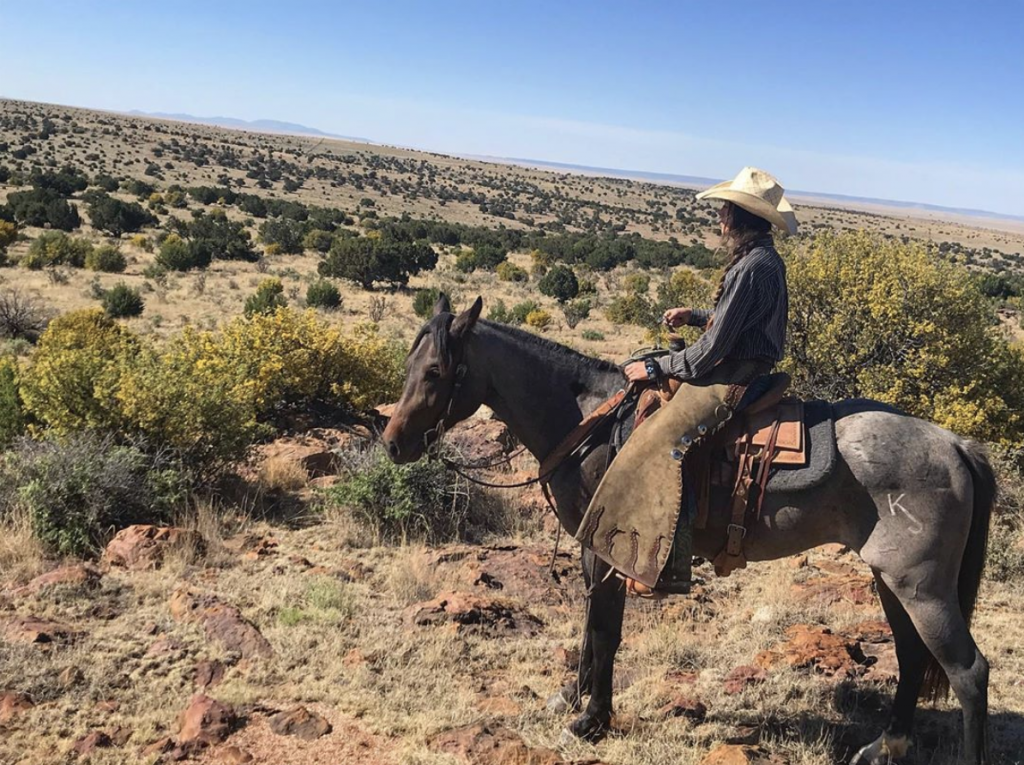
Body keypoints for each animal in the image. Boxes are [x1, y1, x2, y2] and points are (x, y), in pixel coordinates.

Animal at [382, 294, 991, 765]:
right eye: (410, 365)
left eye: (435, 372)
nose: (393, 443)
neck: (587, 422)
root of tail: (955, 444)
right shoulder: (591, 547)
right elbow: (589, 627)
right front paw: (573, 698)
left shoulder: (612, 549)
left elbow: (604, 630)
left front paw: (592, 720)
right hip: (892, 578)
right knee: (912, 655)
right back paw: (885, 746)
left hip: (922, 585)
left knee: (968, 670)